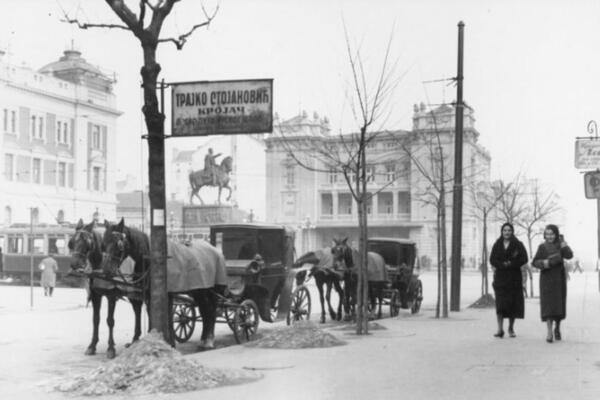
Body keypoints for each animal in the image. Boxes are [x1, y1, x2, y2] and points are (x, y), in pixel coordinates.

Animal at [68, 219, 146, 360]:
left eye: (86, 242)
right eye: (71, 242)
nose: (74, 264)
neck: (99, 266)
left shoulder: (111, 296)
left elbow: (110, 321)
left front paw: (110, 348)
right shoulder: (95, 295)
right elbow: (96, 320)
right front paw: (92, 345)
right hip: (133, 294)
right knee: (137, 310)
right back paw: (135, 339)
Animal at [102, 219, 226, 350]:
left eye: (118, 244)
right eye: (104, 243)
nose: (106, 270)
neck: (151, 258)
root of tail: (216, 250)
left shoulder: (167, 294)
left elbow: (167, 316)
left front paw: (170, 342)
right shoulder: (150, 295)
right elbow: (152, 314)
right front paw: (154, 338)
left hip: (209, 290)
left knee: (210, 309)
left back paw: (209, 340)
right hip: (198, 290)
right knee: (205, 310)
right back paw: (204, 339)